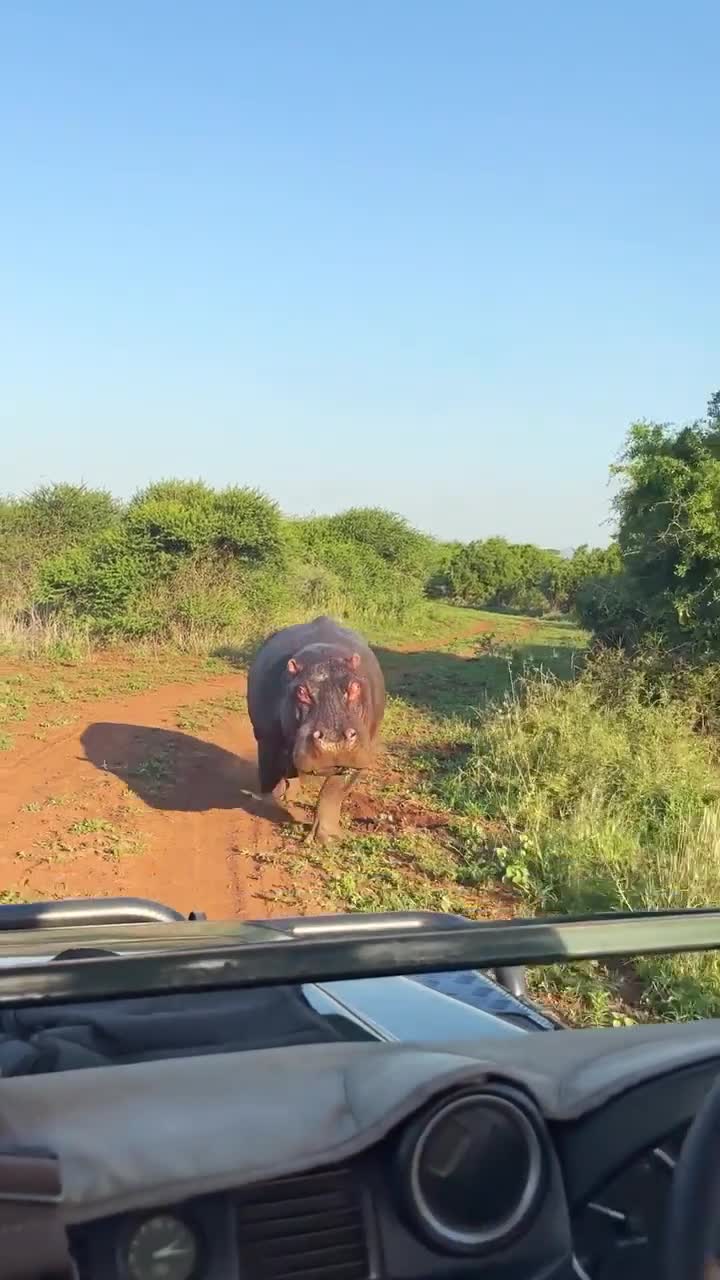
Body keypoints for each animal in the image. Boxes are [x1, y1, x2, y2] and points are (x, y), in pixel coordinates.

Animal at [244, 616, 384, 844]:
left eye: (355, 686)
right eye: (301, 691)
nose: (334, 741)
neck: (323, 656)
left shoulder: (359, 755)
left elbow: (333, 793)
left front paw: (329, 838)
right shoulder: (267, 737)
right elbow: (269, 772)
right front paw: (267, 808)